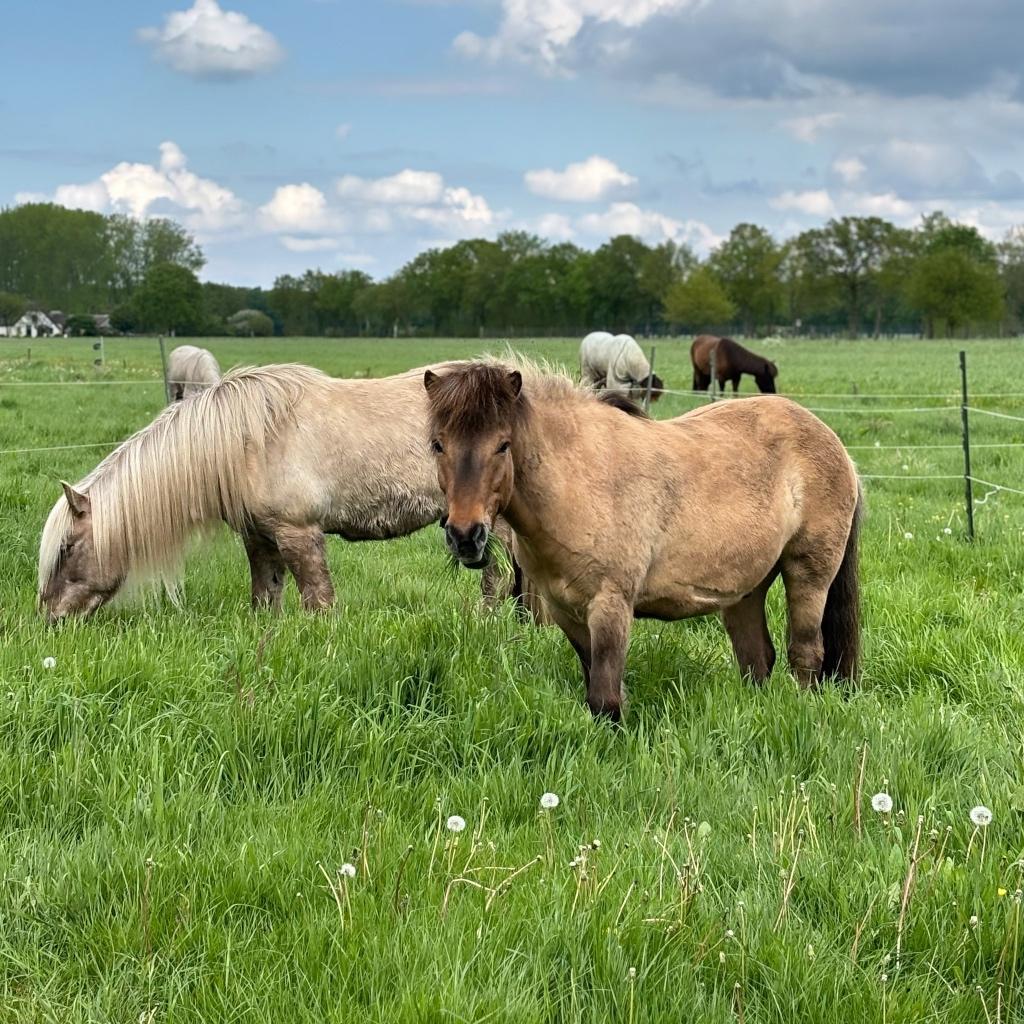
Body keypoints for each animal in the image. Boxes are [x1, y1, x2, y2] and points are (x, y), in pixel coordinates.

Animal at [39, 362, 500, 622]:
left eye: (66, 548)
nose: (49, 618)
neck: (245, 442)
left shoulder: (299, 534)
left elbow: (319, 604)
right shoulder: (259, 538)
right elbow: (265, 598)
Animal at [423, 361, 862, 721]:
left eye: (503, 445)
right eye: (438, 444)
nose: (465, 536)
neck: (580, 481)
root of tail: (835, 445)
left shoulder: (611, 606)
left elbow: (605, 699)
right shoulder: (566, 612)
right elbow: (599, 689)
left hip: (809, 575)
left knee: (806, 654)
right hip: (745, 590)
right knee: (757, 659)